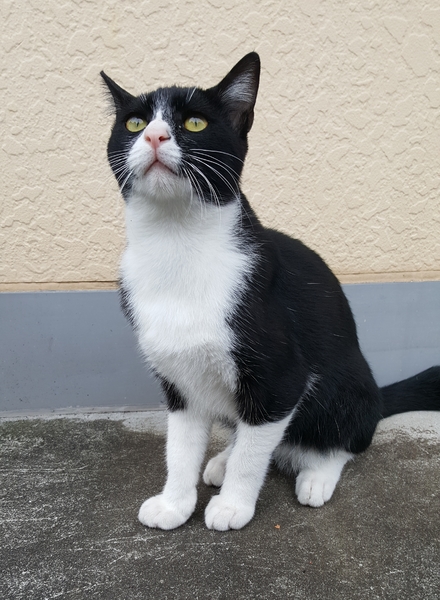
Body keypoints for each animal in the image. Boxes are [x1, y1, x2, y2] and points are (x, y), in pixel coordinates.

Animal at [101, 52, 440, 531]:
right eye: (134, 123)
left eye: (195, 122)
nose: (154, 134)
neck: (177, 245)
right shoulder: (179, 378)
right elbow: (181, 446)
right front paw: (174, 503)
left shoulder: (282, 377)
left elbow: (256, 448)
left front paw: (232, 505)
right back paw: (222, 459)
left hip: (345, 386)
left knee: (344, 439)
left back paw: (316, 473)